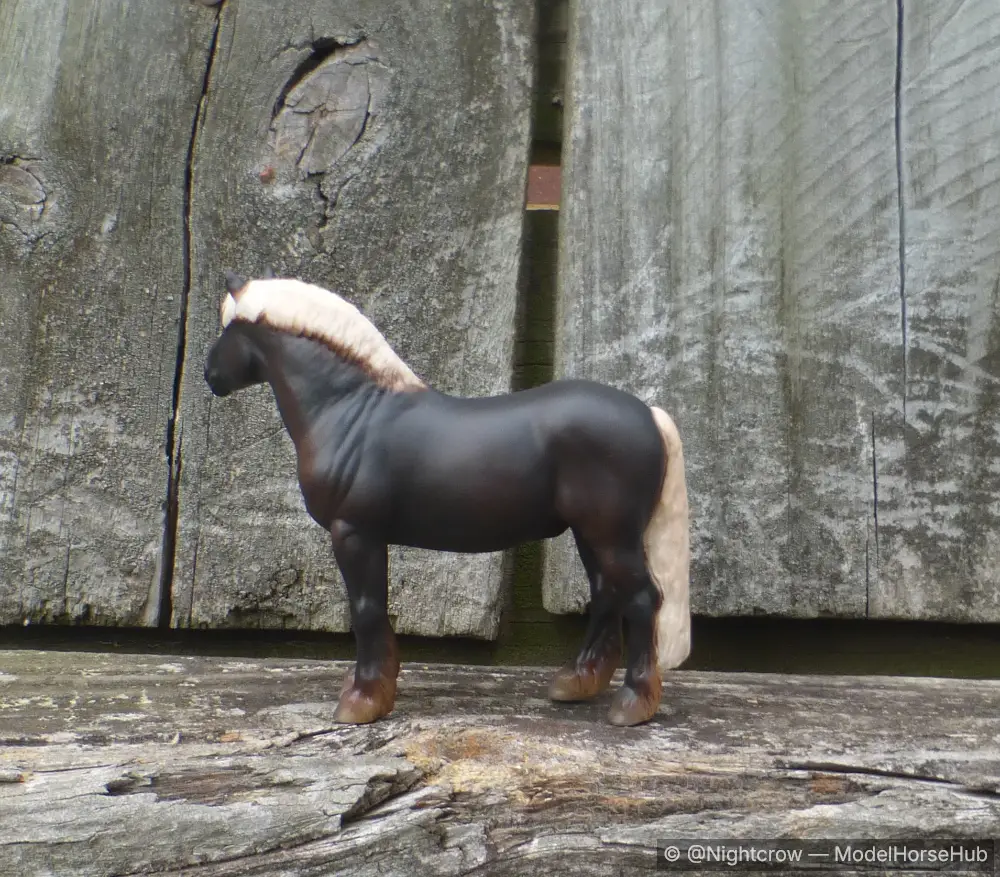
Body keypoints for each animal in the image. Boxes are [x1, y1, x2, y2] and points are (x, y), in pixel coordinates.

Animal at [203, 271, 691, 727]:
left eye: (228, 327)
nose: (210, 377)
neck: (351, 410)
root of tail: (650, 414)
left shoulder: (355, 533)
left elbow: (366, 610)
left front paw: (361, 700)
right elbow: (375, 611)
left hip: (610, 535)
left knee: (642, 598)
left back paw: (632, 703)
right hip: (591, 534)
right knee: (607, 593)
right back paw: (577, 682)